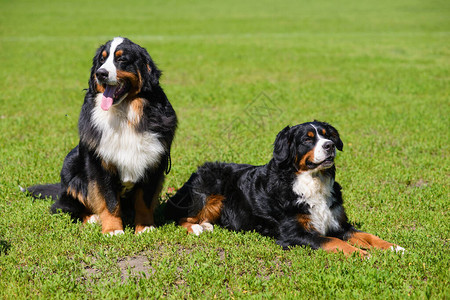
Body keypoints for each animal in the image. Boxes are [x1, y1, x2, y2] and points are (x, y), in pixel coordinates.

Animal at [25, 37, 178, 234]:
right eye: (102, 60)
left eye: (122, 59)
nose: (101, 74)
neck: (124, 114)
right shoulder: (100, 164)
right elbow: (109, 200)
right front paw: (113, 230)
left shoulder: (153, 163)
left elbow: (144, 201)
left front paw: (145, 227)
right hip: (71, 163)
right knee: (65, 207)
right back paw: (92, 218)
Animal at [165, 120, 404, 256]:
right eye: (308, 140)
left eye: (327, 135)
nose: (330, 146)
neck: (311, 182)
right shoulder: (294, 233)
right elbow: (333, 241)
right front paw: (360, 255)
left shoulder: (338, 224)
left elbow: (368, 236)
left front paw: (394, 247)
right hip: (210, 189)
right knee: (181, 218)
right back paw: (198, 228)